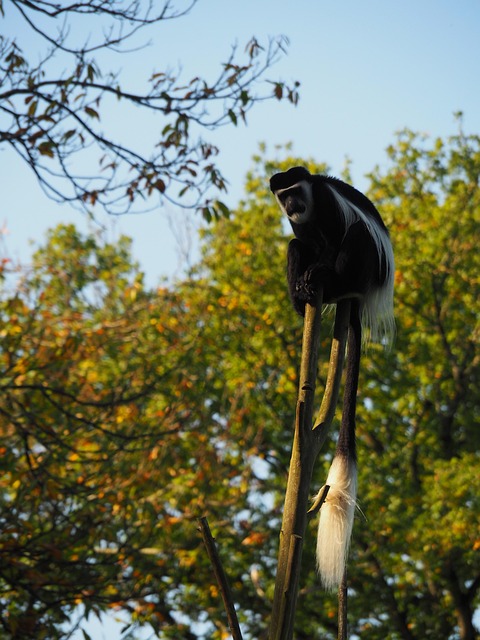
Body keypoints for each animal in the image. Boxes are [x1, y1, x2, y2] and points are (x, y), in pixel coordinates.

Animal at [270, 166, 394, 591]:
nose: (293, 203)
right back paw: (300, 295)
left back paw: (329, 280)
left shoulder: (324, 202)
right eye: (284, 196)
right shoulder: (299, 220)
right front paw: (304, 281)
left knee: (355, 235)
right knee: (294, 246)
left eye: (296, 190)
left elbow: (334, 239)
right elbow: (301, 240)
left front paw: (318, 271)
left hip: (367, 267)